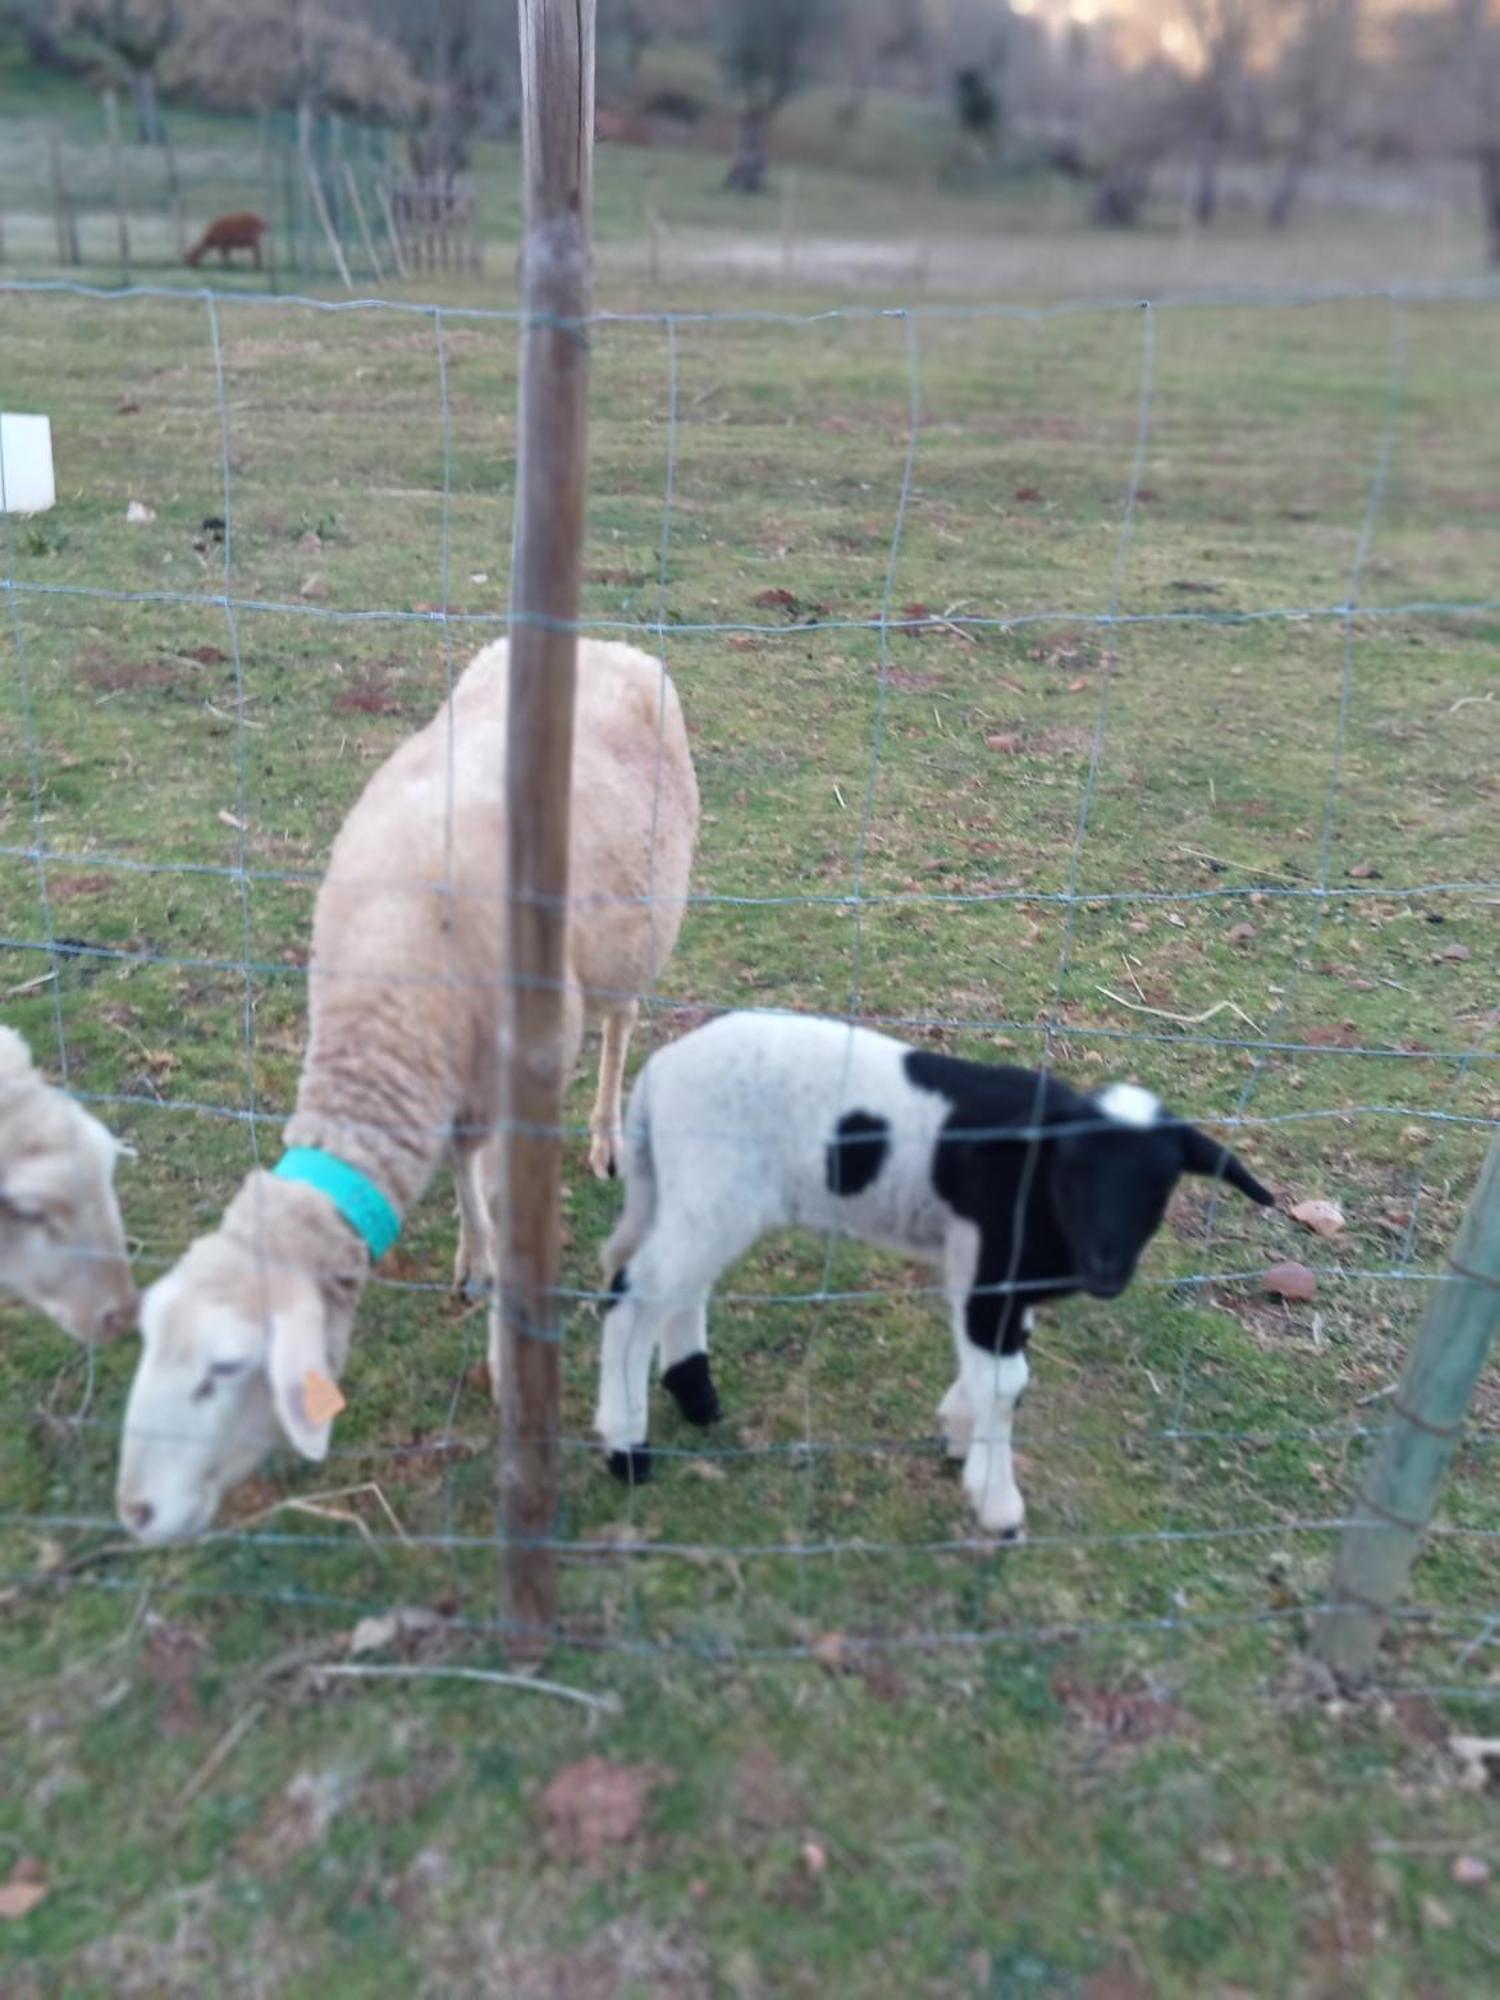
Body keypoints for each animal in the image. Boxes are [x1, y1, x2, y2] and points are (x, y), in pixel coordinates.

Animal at [119, 640, 704, 1544]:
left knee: (620, 1025)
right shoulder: (453, 1087)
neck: (391, 990)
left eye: (227, 1369)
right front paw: (473, 1261)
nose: (136, 1511)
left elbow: (504, 1206)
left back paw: (608, 1135)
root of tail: (611, 644)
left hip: (629, 938)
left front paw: (505, 1352)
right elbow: (466, 1181)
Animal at [592, 1008, 1272, 1536]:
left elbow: (1003, 1367)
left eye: (1160, 1187)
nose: (1107, 1273)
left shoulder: (996, 1277)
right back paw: (627, 1447)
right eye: (1072, 1173)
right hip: (713, 1190)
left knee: (678, 1290)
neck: (1036, 1183)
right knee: (633, 1299)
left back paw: (695, 1394)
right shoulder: (992, 1270)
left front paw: (956, 1428)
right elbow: (1007, 1381)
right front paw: (997, 1502)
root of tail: (659, 1074)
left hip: (706, 1197)